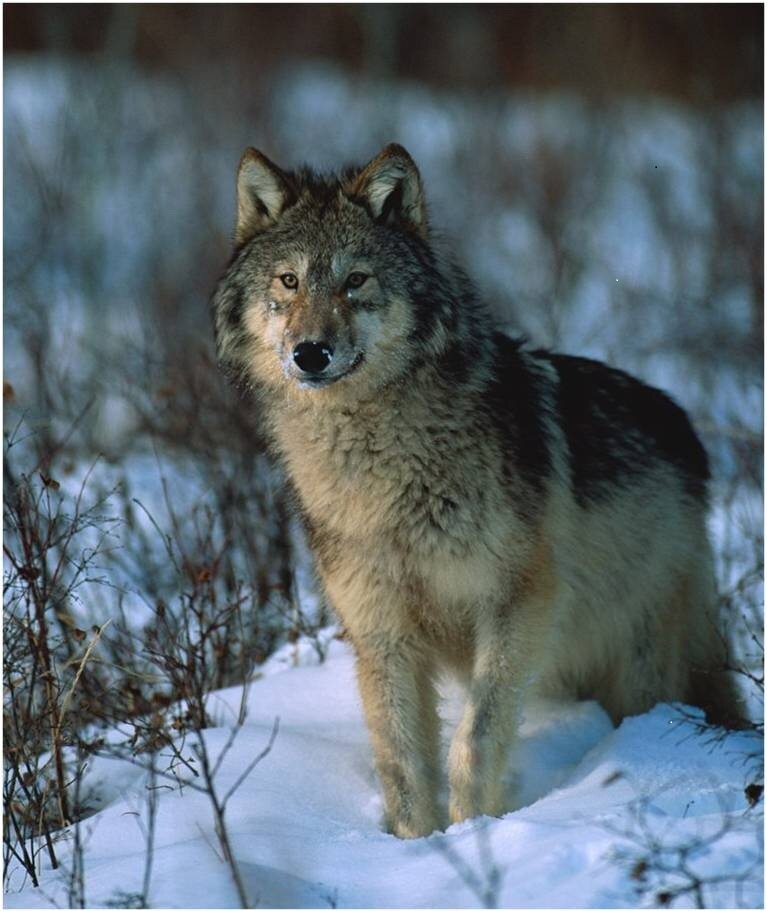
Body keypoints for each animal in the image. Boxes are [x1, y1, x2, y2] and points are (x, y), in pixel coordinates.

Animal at [212, 141, 744, 840]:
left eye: (355, 281)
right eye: (289, 282)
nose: (310, 353)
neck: (385, 475)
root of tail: (685, 432)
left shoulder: (515, 603)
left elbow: (477, 735)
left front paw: (474, 832)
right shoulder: (381, 632)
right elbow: (403, 763)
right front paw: (421, 844)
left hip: (643, 668)